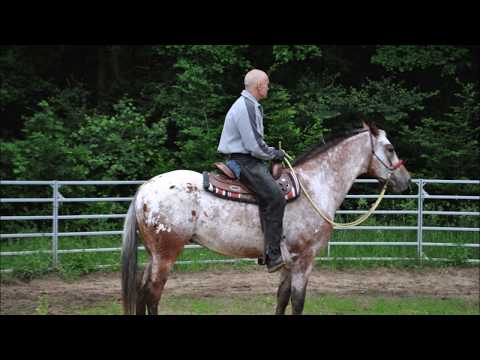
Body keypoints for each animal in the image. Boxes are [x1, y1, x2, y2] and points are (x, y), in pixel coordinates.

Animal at [120, 122, 408, 314]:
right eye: (390, 148)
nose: (406, 180)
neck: (315, 185)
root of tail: (145, 189)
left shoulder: (289, 261)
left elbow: (282, 298)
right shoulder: (304, 259)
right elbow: (298, 301)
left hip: (154, 255)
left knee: (142, 291)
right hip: (166, 255)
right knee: (152, 294)